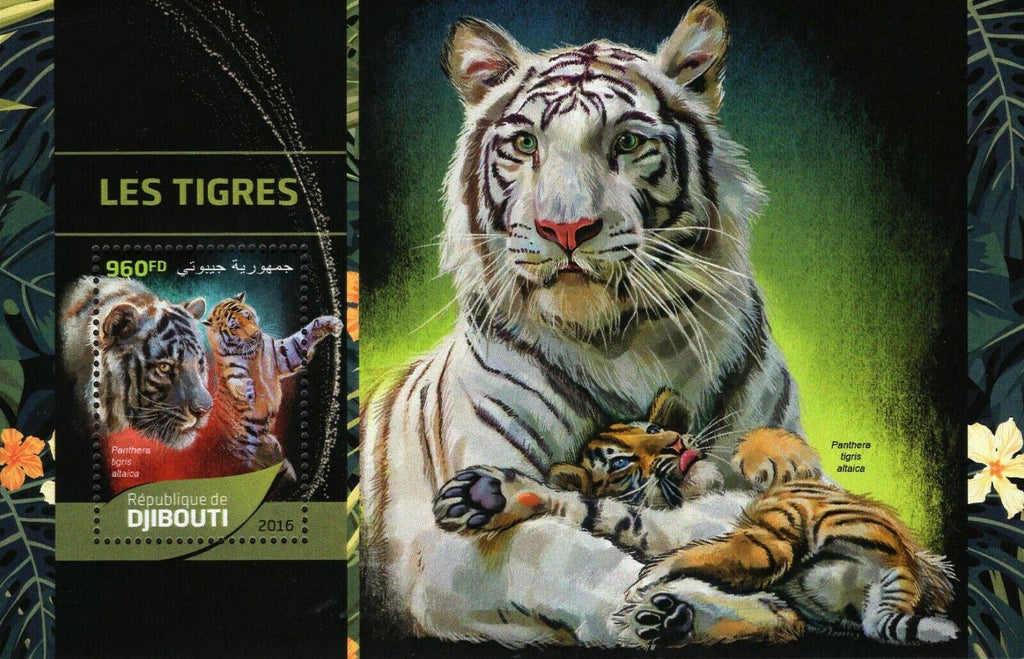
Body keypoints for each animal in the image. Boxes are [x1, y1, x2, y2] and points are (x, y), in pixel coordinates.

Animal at [203, 293, 340, 478]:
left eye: (248, 316)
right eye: (235, 327)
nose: (255, 335)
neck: (252, 354)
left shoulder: (282, 354)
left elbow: (301, 340)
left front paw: (329, 323)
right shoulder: (232, 369)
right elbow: (237, 380)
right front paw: (248, 390)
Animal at [361, 3, 814, 645]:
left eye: (627, 142)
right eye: (525, 143)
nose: (565, 228)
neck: (631, 342)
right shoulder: (443, 558)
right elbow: (566, 556)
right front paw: (675, 607)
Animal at [433, 390, 958, 647]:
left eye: (653, 428)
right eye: (620, 462)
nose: (677, 443)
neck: (700, 493)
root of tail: (903, 566)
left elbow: (771, 442)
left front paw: (765, 457)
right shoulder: (661, 529)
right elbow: (598, 510)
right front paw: (487, 496)